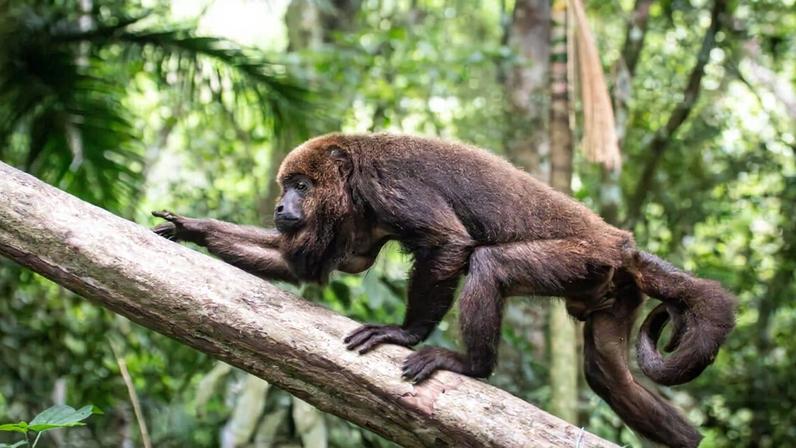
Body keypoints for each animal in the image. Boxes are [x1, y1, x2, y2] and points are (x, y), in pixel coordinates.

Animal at [152, 133, 736, 448]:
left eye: (301, 185)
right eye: (286, 187)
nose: (280, 206)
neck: (353, 180)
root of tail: (621, 242)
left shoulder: (388, 183)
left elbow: (449, 244)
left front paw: (404, 332)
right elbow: (305, 266)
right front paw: (194, 228)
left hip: (584, 258)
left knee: (489, 264)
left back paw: (470, 364)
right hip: (611, 290)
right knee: (608, 374)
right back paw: (686, 436)